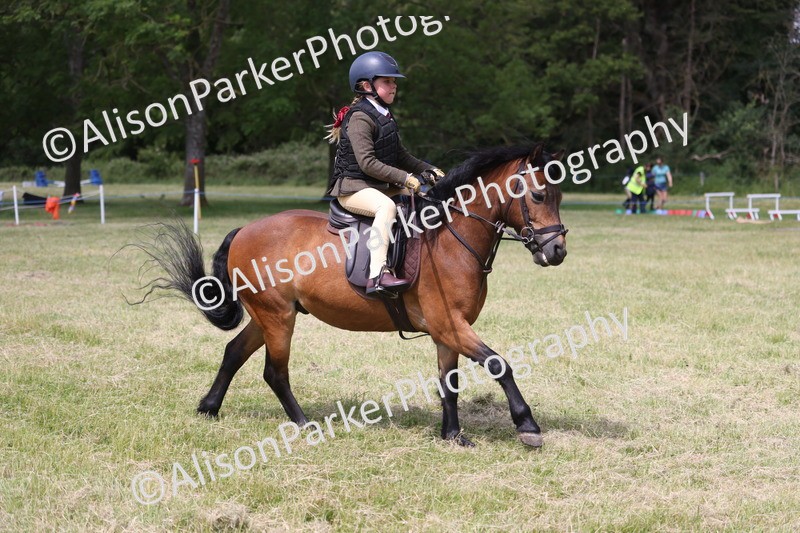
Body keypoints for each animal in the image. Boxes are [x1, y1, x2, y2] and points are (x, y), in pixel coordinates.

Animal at [137, 143, 567, 447]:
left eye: (559, 197)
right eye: (539, 196)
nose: (557, 251)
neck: (449, 238)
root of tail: (245, 229)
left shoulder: (448, 332)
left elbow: (450, 383)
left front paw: (452, 435)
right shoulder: (450, 325)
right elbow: (499, 365)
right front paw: (527, 425)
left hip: (270, 314)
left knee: (234, 352)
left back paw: (209, 408)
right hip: (277, 316)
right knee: (274, 371)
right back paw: (305, 424)